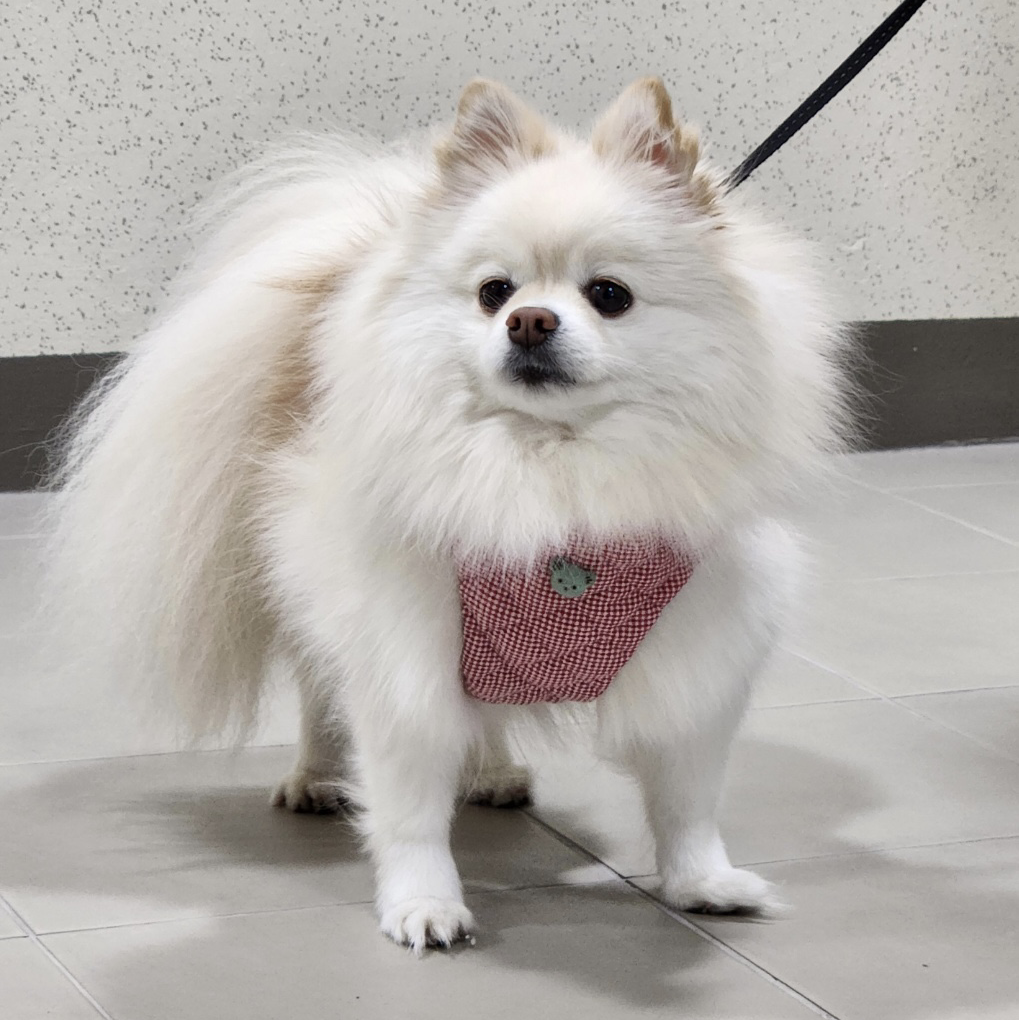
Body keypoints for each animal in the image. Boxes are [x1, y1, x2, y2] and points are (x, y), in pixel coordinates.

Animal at [45, 77, 850, 952]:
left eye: (609, 296)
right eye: (493, 292)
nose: (528, 320)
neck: (550, 471)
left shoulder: (696, 649)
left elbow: (687, 797)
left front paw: (701, 882)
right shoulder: (405, 648)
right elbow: (410, 808)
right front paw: (422, 904)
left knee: (486, 714)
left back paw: (493, 771)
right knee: (320, 690)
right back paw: (315, 777)